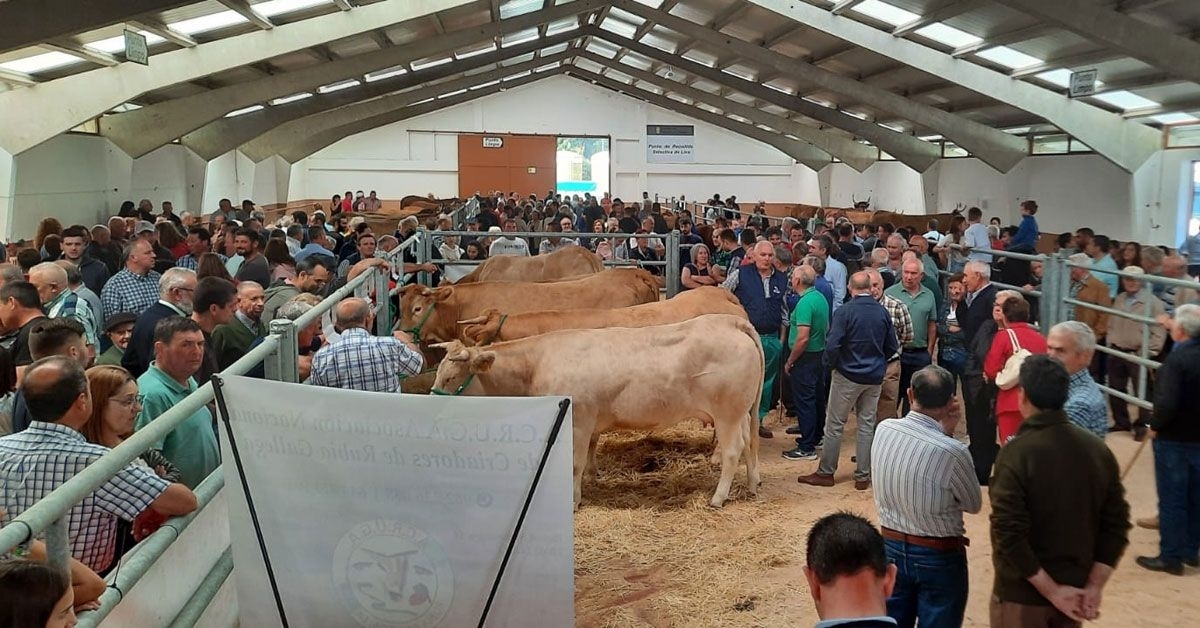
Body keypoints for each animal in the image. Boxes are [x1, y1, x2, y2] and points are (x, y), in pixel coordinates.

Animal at [436, 312, 763, 509]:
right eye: (438, 373)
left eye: (450, 378)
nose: (432, 402)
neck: (537, 363)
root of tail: (729, 321)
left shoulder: (578, 421)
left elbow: (574, 463)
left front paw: (573, 500)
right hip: (741, 412)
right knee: (749, 443)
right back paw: (752, 484)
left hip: (727, 413)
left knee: (732, 450)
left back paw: (718, 497)